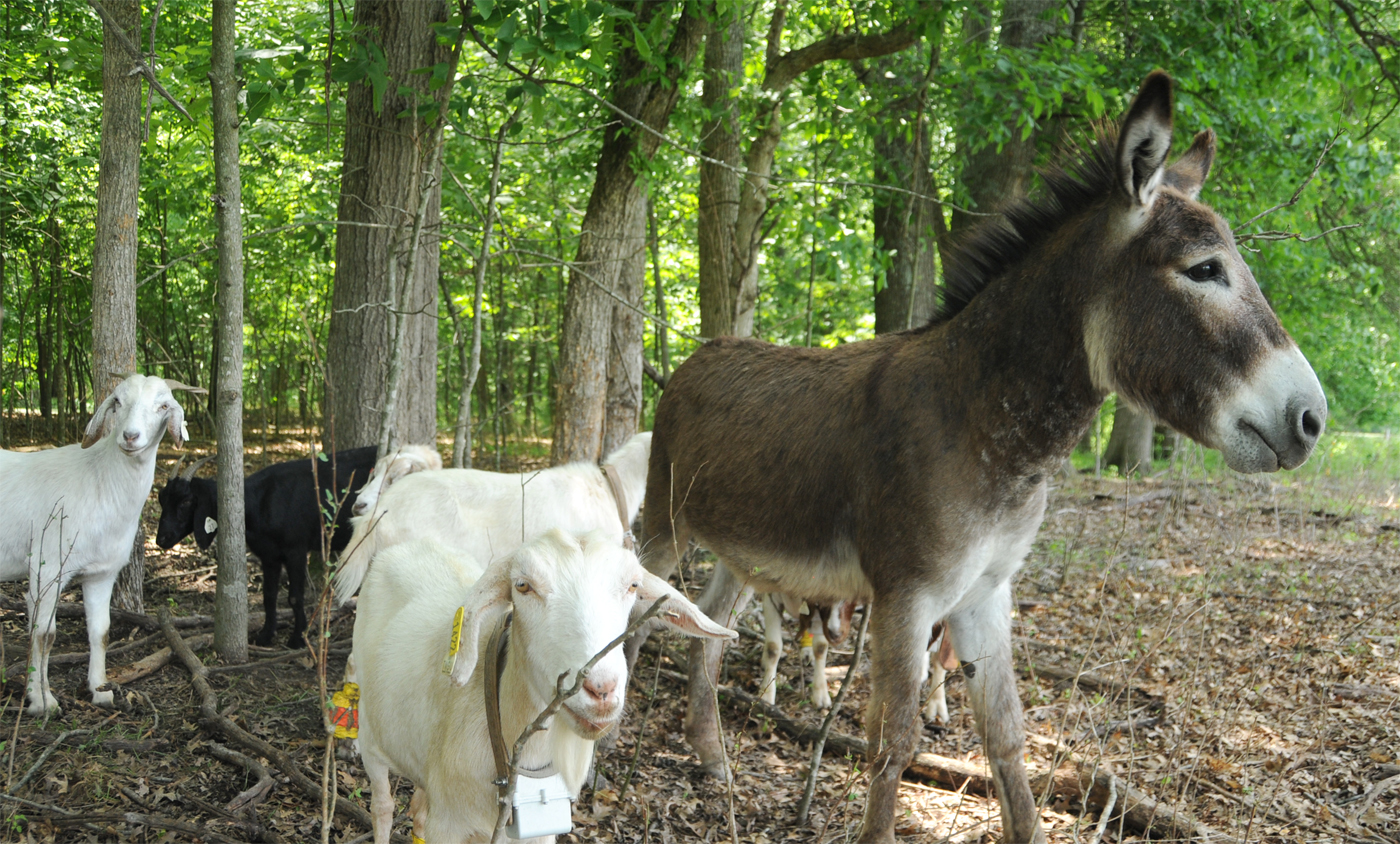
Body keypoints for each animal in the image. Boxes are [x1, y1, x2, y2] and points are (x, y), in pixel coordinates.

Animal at [0, 375, 191, 713]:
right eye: (118, 402)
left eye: (163, 406)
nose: (130, 436)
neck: (99, 481)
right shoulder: (46, 569)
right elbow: (44, 635)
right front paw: (42, 701)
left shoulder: (102, 573)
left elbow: (100, 633)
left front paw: (101, 691)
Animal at [156, 447, 378, 646]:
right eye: (161, 500)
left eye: (186, 501)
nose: (161, 539)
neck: (261, 501)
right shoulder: (269, 555)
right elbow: (269, 596)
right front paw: (265, 635)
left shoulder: (296, 549)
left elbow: (295, 597)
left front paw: (297, 639)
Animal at [355, 531, 739, 839]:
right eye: (523, 586)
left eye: (632, 586)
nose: (601, 689)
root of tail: (407, 545)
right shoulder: (449, 828)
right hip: (369, 734)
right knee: (382, 806)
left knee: (418, 810)